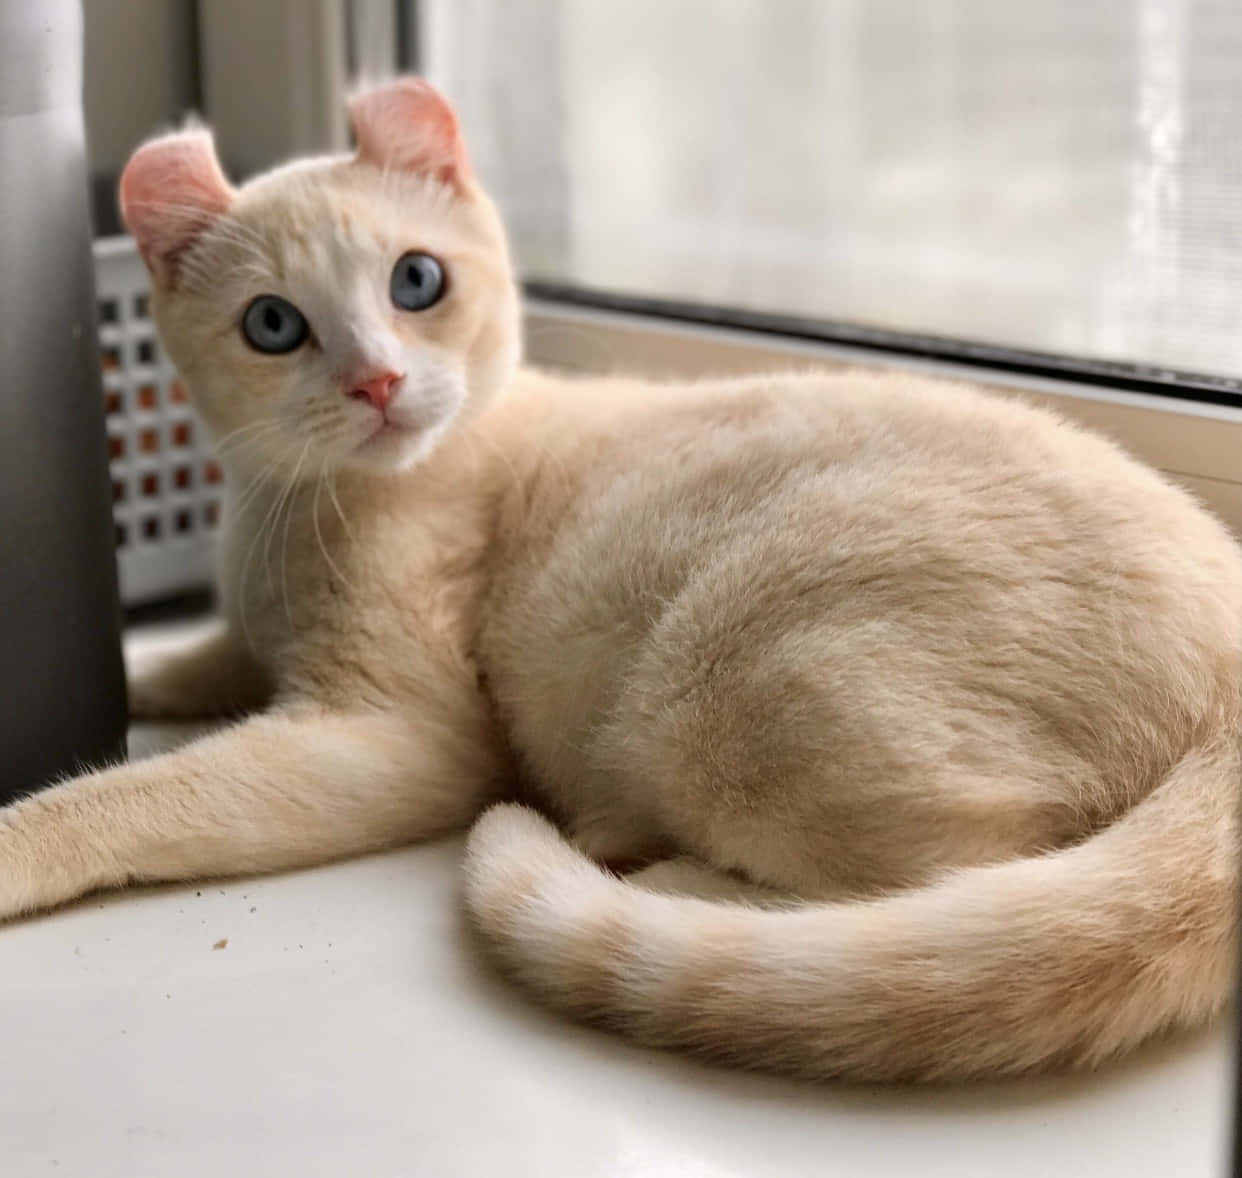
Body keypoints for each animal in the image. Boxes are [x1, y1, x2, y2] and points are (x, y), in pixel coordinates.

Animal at [4, 75, 1237, 1083]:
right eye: (273, 324)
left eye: (416, 280)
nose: (378, 382)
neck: (286, 512)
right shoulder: (253, 634)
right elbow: (190, 660)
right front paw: (147, 668)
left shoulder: (400, 732)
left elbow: (148, 792)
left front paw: (24, 841)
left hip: (728, 692)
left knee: (949, 878)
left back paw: (642, 870)